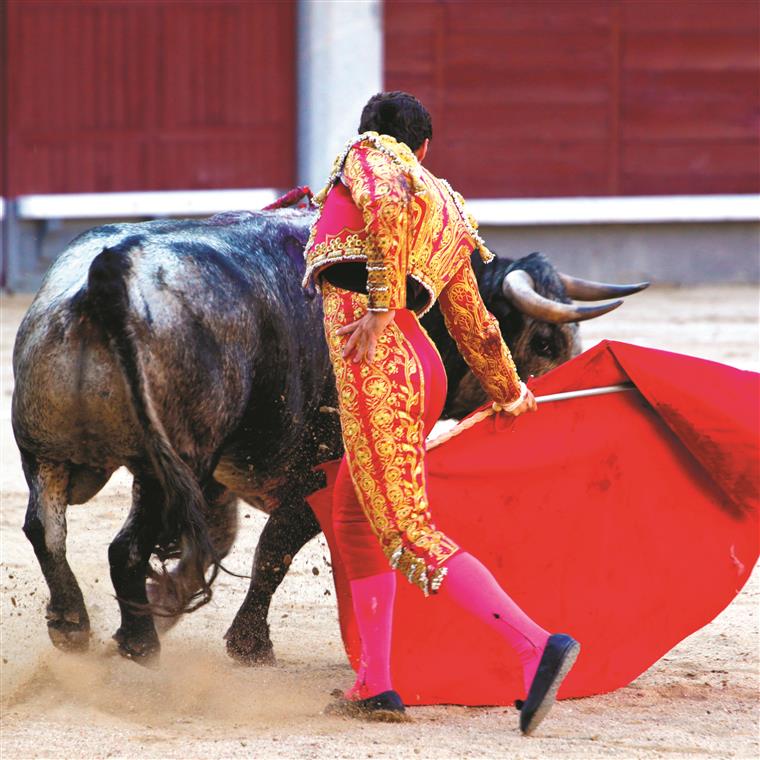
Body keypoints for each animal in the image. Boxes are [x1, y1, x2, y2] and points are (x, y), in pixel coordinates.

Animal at [11, 209, 644, 664]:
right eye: (544, 341)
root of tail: (108, 275)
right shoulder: (320, 470)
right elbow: (274, 548)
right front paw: (249, 645)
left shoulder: (217, 478)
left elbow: (220, 542)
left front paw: (170, 602)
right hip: (167, 467)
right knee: (121, 546)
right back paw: (138, 643)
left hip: (48, 450)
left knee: (46, 530)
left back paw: (74, 625)